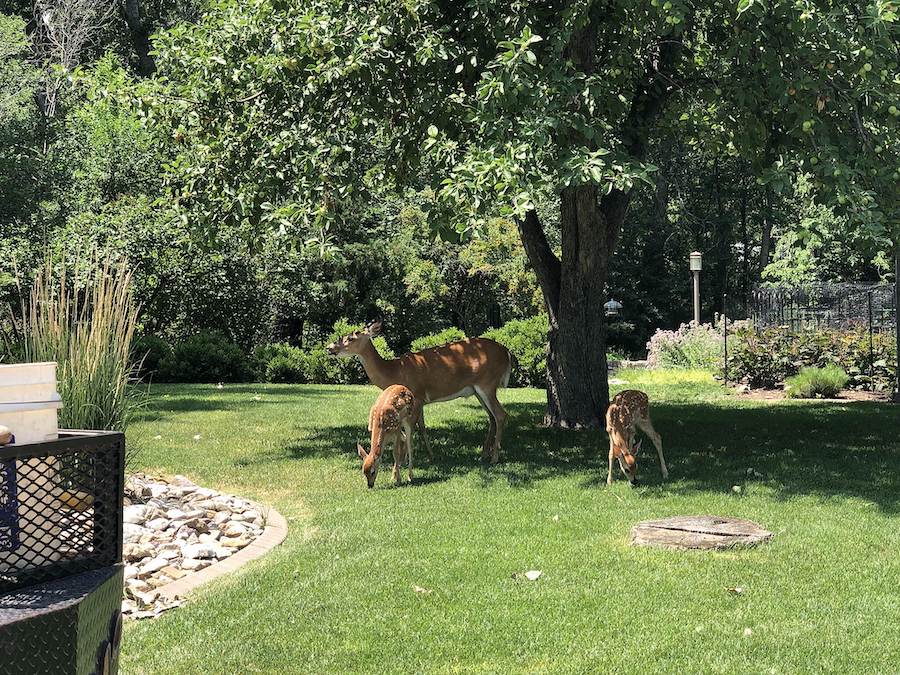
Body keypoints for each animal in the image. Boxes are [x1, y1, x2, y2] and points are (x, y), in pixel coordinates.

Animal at [328, 322, 512, 464]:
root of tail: (507, 353)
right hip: (477, 390)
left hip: (487, 384)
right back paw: (484, 454)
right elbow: (422, 427)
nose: (329, 348)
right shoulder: (420, 399)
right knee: (492, 417)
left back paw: (494, 458)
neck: (394, 371)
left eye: (351, 337)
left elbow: (413, 427)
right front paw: (430, 456)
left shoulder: (416, 395)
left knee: (500, 414)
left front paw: (407, 460)